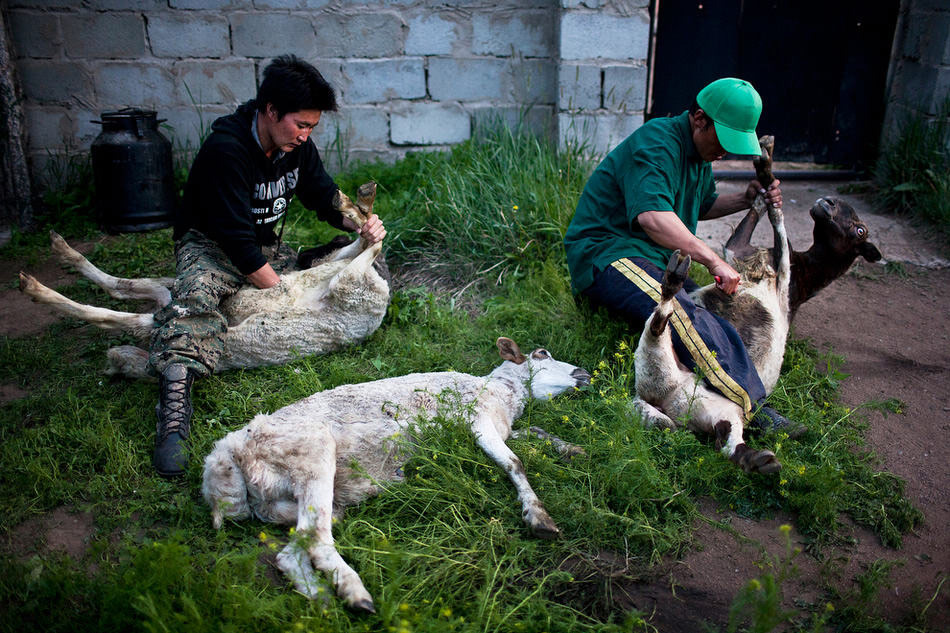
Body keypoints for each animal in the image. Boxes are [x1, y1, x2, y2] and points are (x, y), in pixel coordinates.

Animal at [201, 338, 592, 608]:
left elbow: (537, 433)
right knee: (317, 538)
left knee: (293, 551)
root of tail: (226, 457)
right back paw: (356, 594)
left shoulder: (504, 428)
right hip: (313, 455)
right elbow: (514, 463)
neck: (505, 394)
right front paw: (539, 518)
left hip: (288, 501)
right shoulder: (479, 422)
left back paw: (325, 601)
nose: (585, 374)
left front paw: (572, 449)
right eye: (541, 353)